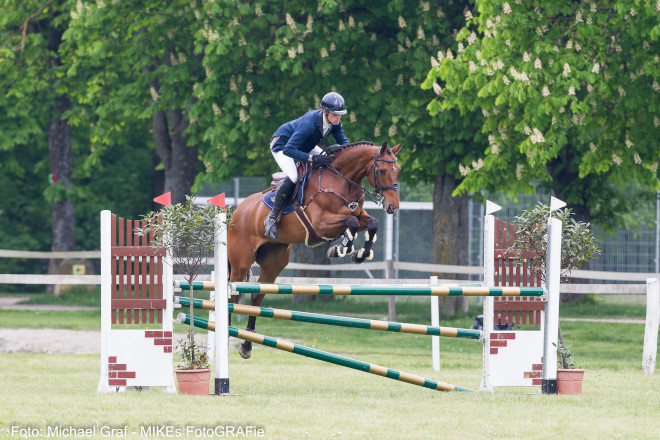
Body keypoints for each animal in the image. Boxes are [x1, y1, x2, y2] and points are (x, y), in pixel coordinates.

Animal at [227, 140, 402, 358]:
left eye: (398, 170)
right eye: (382, 170)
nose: (393, 206)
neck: (341, 180)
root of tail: (237, 210)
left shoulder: (358, 215)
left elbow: (372, 223)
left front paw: (360, 254)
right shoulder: (321, 224)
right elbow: (351, 223)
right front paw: (341, 248)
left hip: (273, 263)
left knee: (257, 296)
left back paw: (247, 344)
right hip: (241, 263)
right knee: (232, 295)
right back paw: (227, 332)